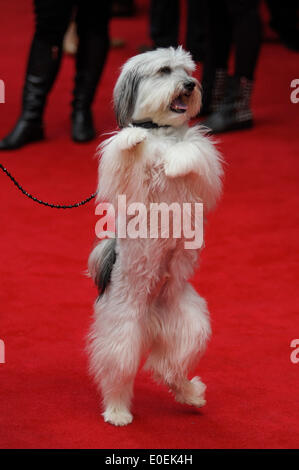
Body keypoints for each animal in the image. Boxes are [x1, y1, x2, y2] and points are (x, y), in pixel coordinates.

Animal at [86, 46, 223, 426]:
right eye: (164, 70)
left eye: (188, 71)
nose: (190, 85)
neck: (162, 132)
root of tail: (151, 319)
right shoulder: (128, 180)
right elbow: (126, 150)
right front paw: (134, 138)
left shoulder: (203, 165)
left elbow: (190, 151)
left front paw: (175, 161)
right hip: (123, 335)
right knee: (119, 375)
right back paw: (117, 411)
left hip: (192, 328)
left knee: (168, 369)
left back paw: (191, 394)